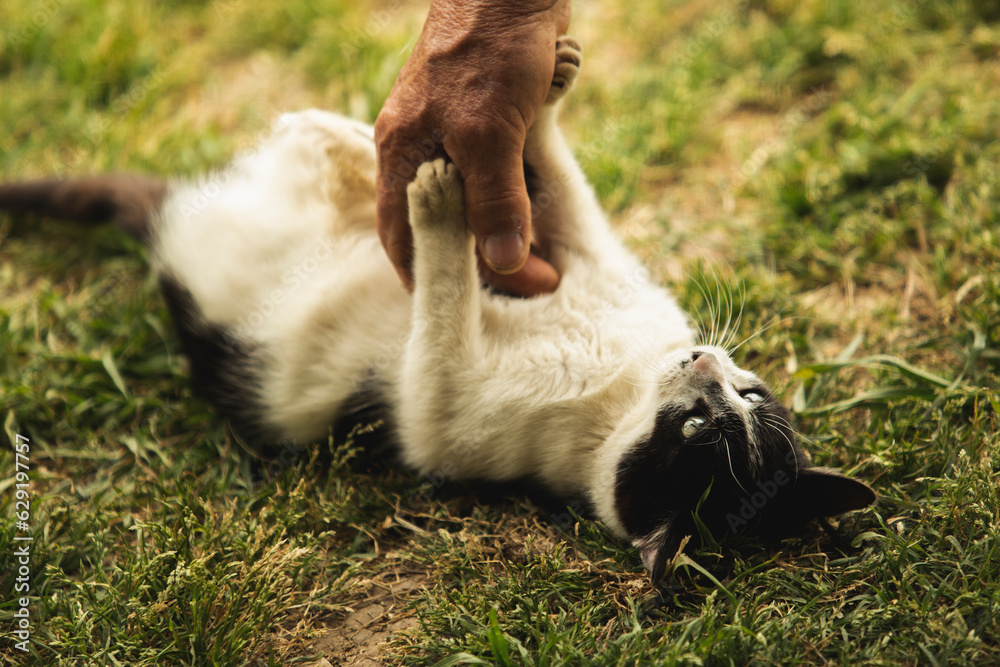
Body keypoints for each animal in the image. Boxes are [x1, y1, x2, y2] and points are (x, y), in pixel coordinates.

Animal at [0, 36, 876, 580]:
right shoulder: (583, 260)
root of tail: (164, 228)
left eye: (701, 429)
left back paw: (365, 160)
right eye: (746, 394)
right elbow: (565, 193)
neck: (620, 385)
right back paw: (347, 137)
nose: (703, 360)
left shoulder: (437, 402)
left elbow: (445, 296)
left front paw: (438, 210)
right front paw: (544, 89)